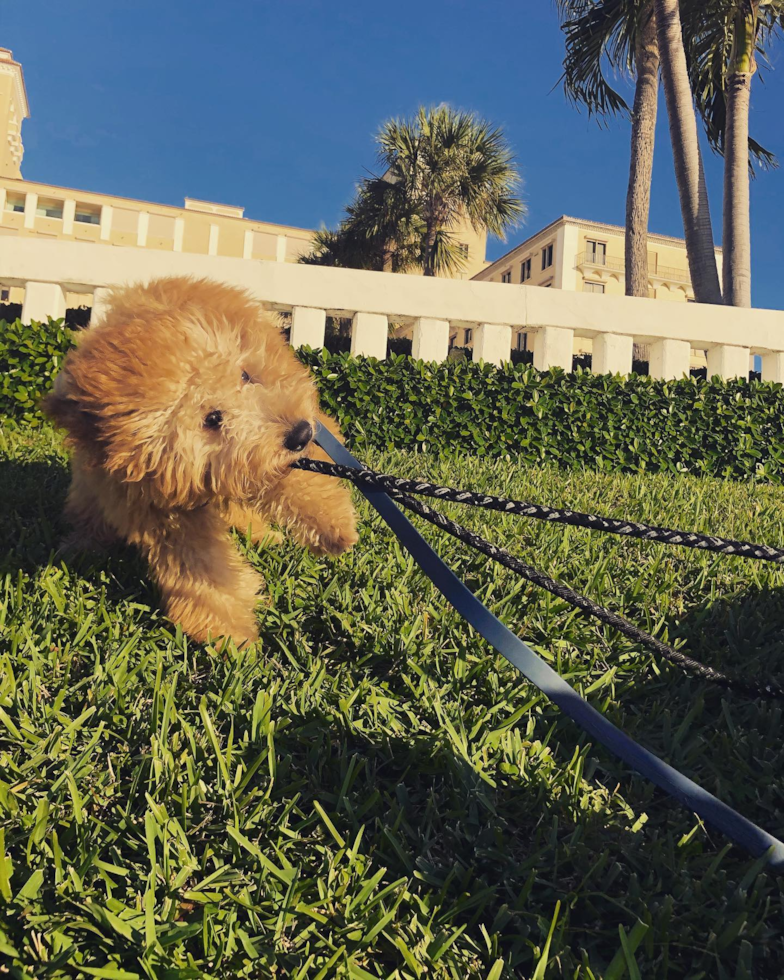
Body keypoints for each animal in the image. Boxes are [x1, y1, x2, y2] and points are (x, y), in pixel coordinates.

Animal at [44, 276, 356, 644]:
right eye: (212, 419)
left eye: (245, 376)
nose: (300, 434)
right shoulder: (156, 508)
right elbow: (199, 568)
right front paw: (228, 631)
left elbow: (302, 480)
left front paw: (334, 527)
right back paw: (82, 544)